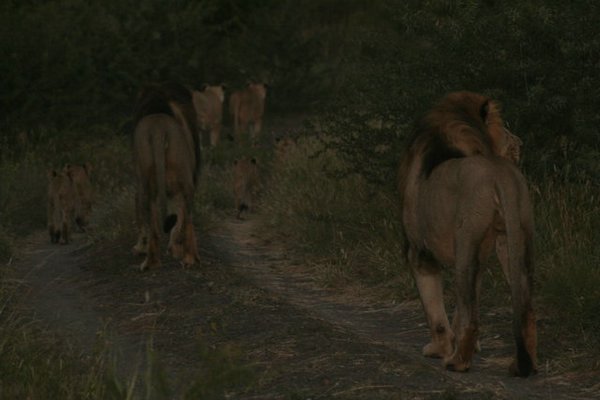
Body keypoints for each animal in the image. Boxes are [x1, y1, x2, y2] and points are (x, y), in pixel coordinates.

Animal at [132, 81, 202, 270]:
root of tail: (158, 129)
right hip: (185, 183)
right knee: (185, 221)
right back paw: (189, 258)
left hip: (146, 183)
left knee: (153, 226)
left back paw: (150, 262)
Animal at [396, 92, 536, 376]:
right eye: (506, 129)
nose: (520, 142)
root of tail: (499, 172)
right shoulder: (481, 255)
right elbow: (461, 309)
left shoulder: (419, 253)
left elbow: (435, 311)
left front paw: (439, 349)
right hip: (515, 239)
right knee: (525, 310)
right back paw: (524, 364)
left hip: (465, 246)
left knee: (472, 320)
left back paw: (457, 362)